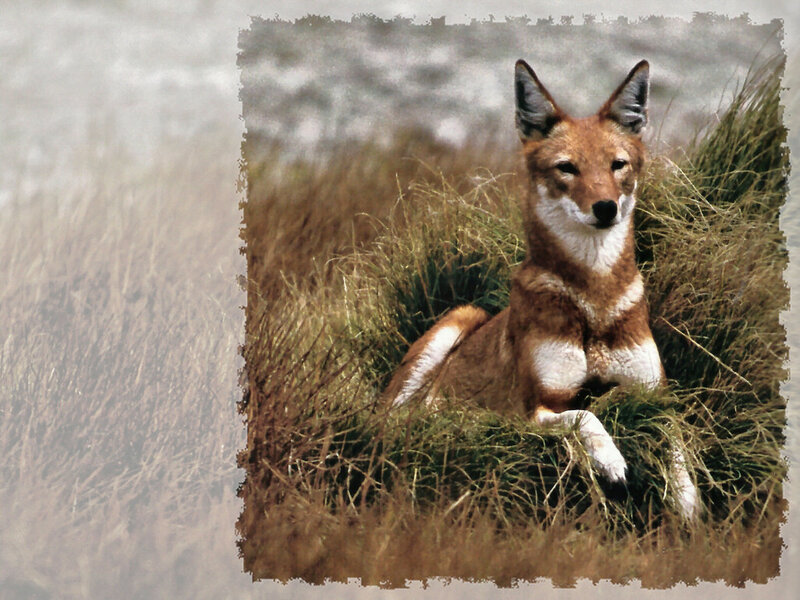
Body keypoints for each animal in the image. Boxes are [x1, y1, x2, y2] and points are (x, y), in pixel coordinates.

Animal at [384, 59, 698, 520]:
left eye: (617, 165)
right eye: (567, 168)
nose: (605, 208)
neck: (594, 302)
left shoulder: (654, 393)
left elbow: (677, 442)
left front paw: (689, 502)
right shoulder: (539, 407)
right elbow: (586, 417)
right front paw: (612, 463)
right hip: (458, 320)